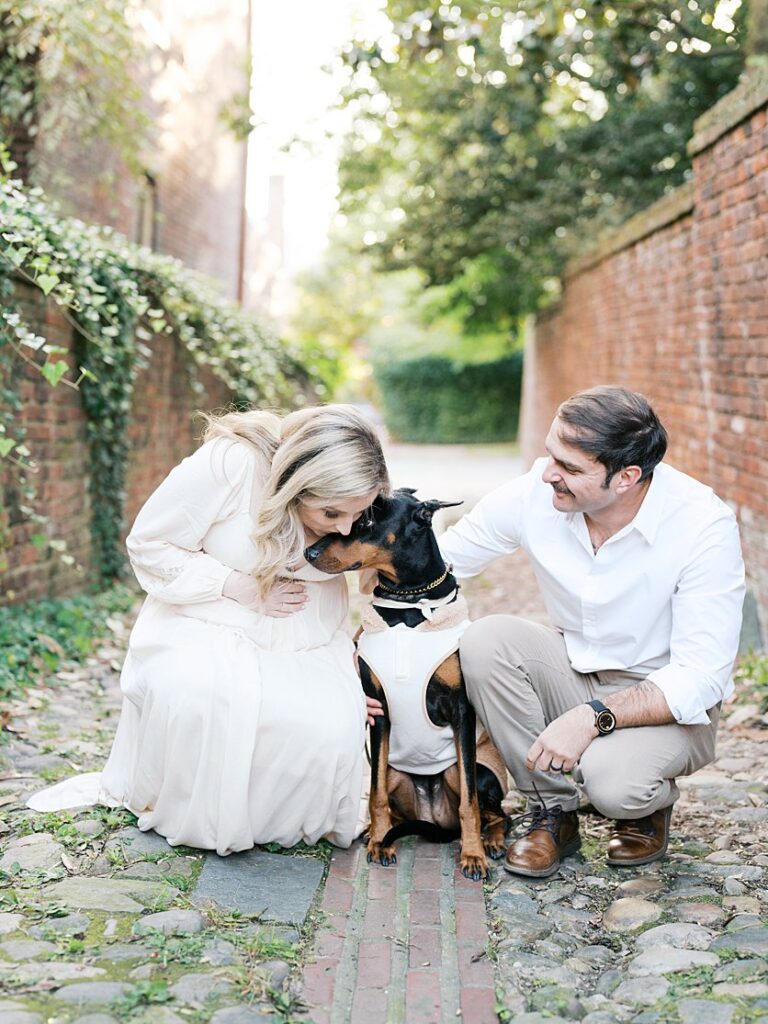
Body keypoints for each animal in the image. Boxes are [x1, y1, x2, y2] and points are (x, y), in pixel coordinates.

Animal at [307, 487, 512, 880]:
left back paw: (490, 841)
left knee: (497, 814)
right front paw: (378, 842)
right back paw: (378, 832)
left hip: (474, 771)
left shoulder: (461, 709)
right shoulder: (379, 708)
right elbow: (375, 795)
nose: (309, 552)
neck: (409, 603)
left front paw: (473, 855)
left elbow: (470, 804)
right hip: (392, 772)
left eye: (366, 520)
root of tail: (433, 818)